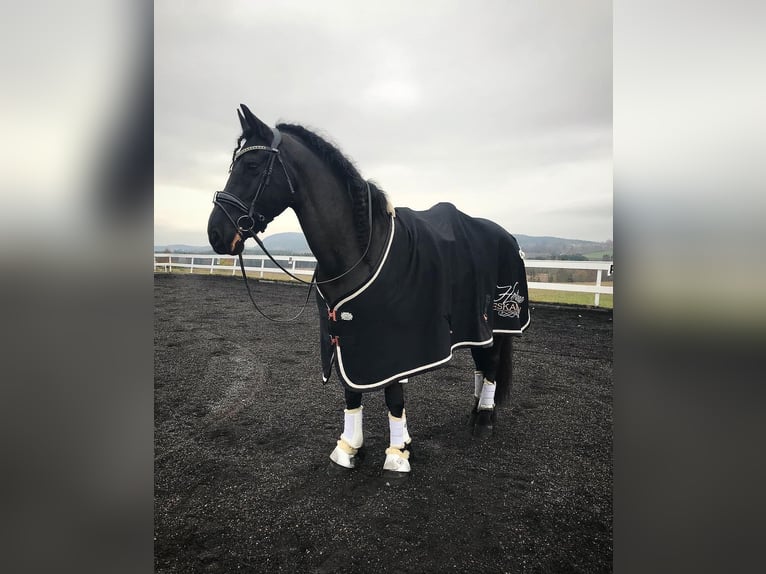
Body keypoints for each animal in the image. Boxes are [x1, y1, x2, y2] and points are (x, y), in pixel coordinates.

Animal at [207, 104, 530, 475]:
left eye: (252, 166)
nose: (215, 233)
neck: (361, 250)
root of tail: (508, 236)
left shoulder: (396, 344)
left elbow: (393, 397)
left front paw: (398, 452)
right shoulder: (344, 335)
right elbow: (351, 391)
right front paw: (349, 448)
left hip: (499, 322)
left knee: (490, 364)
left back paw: (484, 420)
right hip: (476, 324)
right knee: (481, 361)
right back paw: (474, 410)